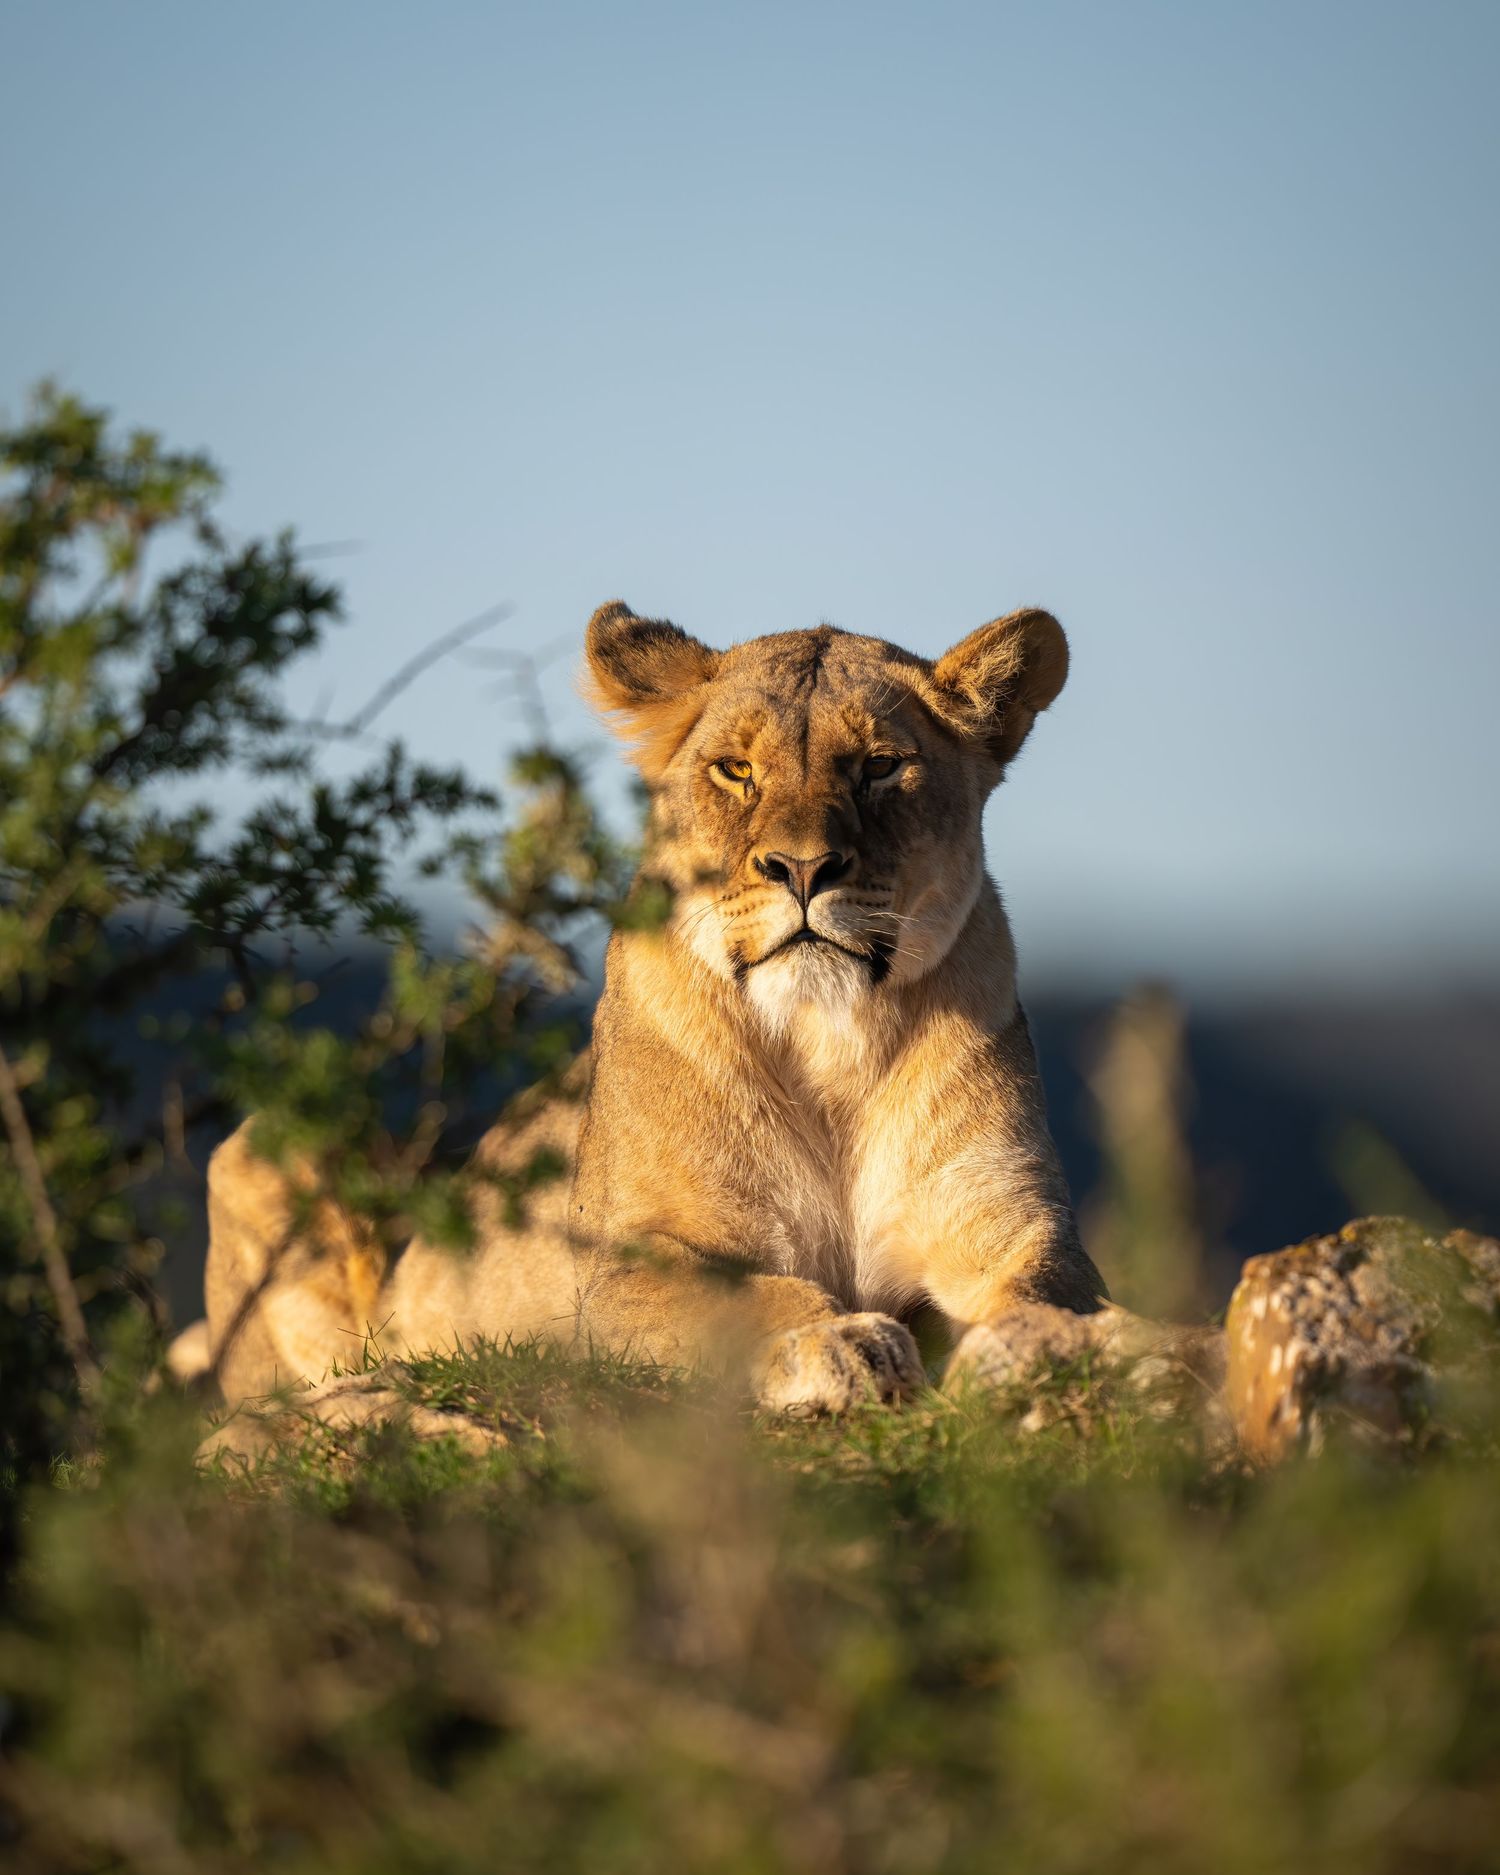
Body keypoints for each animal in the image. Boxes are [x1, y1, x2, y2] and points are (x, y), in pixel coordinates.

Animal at [191, 600, 1110, 1423]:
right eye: (735, 769)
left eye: (880, 765)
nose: (803, 868)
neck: (827, 1044)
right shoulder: (619, 1270)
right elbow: (758, 1297)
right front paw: (842, 1342)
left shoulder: (1017, 1226)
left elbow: (1050, 1292)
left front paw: (1057, 1350)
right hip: (267, 1146)